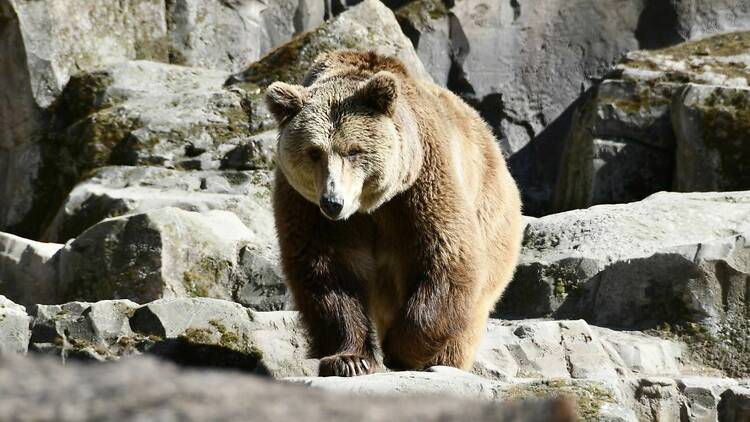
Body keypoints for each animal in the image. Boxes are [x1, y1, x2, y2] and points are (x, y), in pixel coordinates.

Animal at [268, 49, 524, 376]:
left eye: (354, 150)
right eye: (314, 152)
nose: (333, 202)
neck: (369, 206)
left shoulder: (419, 185)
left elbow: (446, 255)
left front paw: (400, 350)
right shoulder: (308, 207)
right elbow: (327, 270)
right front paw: (350, 360)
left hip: (493, 217)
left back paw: (445, 361)